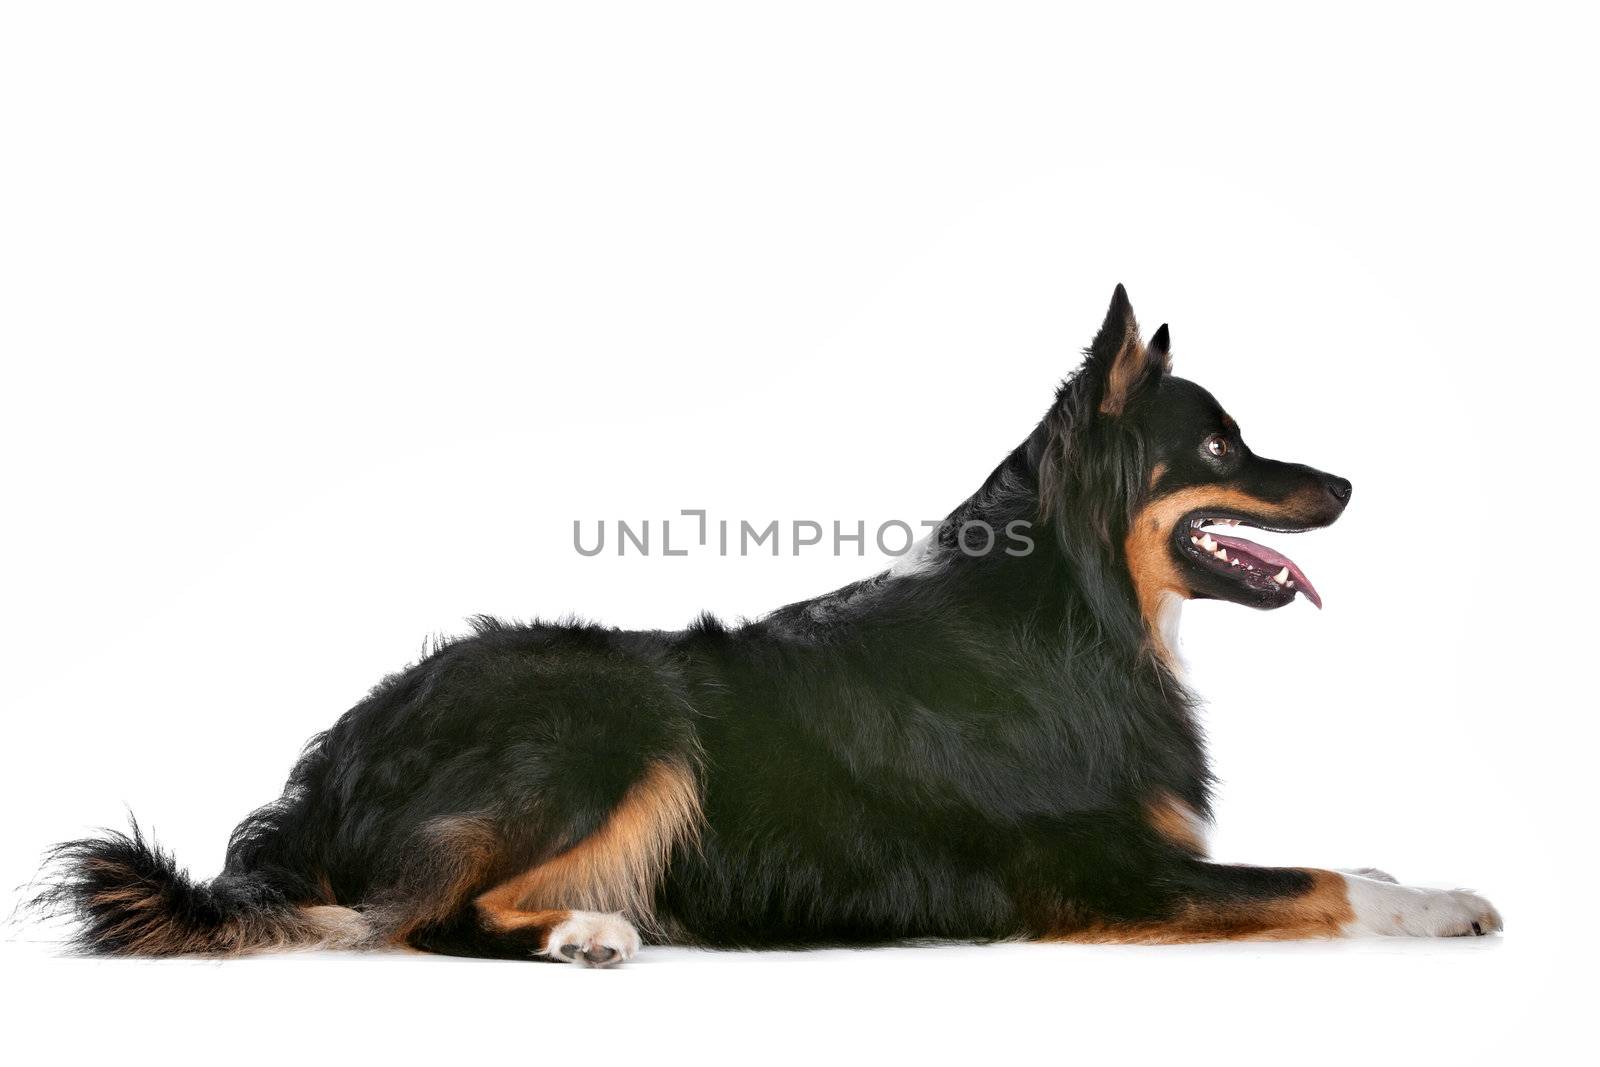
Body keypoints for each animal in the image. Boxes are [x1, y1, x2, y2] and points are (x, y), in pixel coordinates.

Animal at [34, 286, 1497, 966]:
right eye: (1222, 448)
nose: (1349, 485)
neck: (1079, 616)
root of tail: (327, 767)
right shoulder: (1100, 876)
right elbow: (1320, 875)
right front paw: (1439, 897)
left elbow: (1335, 849)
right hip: (615, 710)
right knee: (415, 916)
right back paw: (580, 929)